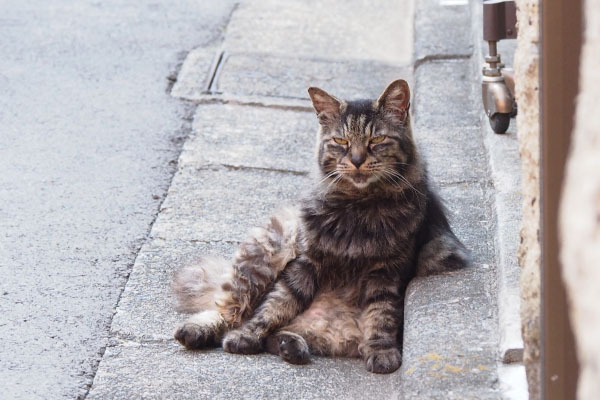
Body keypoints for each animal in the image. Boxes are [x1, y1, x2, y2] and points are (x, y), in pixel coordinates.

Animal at [171, 79, 466, 374]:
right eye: (341, 141)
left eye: (377, 140)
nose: (357, 160)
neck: (358, 207)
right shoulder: (306, 261)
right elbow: (275, 307)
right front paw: (246, 336)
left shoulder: (388, 271)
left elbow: (381, 314)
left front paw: (381, 351)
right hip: (266, 256)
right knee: (232, 311)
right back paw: (198, 332)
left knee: (277, 335)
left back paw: (291, 347)